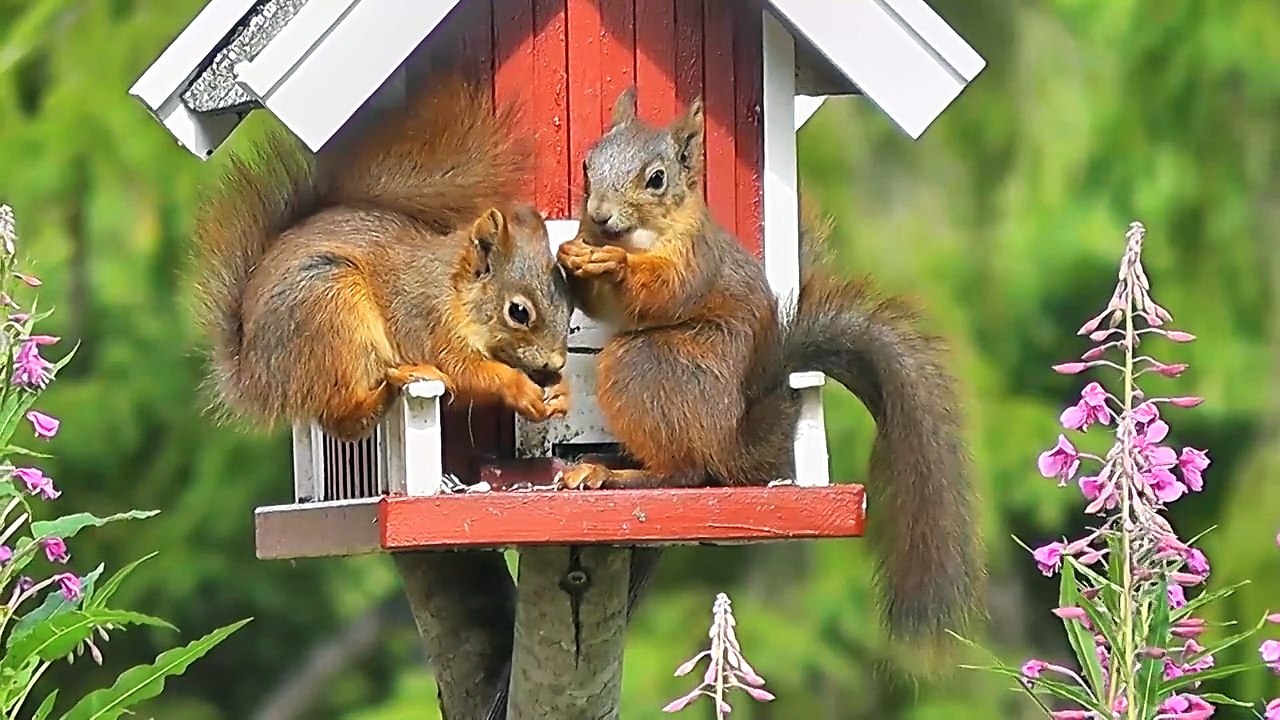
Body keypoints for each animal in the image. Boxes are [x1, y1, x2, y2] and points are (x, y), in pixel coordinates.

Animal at [190, 76, 573, 441]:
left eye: (570, 308)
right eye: (518, 312)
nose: (556, 364)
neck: (452, 289)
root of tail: (253, 377)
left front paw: (561, 392)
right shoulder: (426, 323)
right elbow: (466, 372)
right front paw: (518, 386)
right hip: (331, 311)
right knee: (343, 419)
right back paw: (394, 382)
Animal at [555, 88, 982, 648]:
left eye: (657, 179)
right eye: (587, 164)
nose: (599, 216)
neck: (638, 238)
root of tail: (730, 442)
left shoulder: (694, 259)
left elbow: (662, 293)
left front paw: (615, 266)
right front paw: (570, 253)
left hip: (645, 368)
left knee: (684, 471)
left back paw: (611, 474)